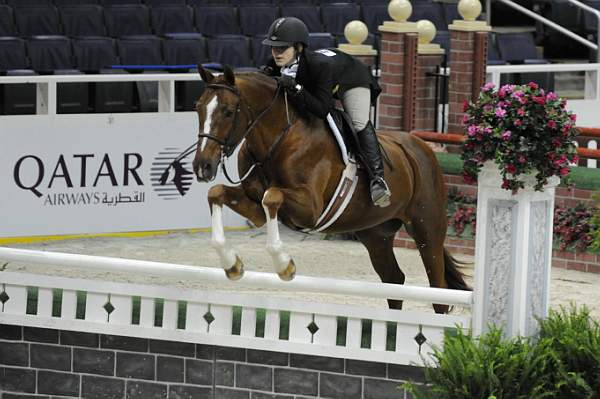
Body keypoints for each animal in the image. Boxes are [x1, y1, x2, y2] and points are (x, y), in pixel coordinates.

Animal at [192, 66, 468, 316]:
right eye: (198, 108)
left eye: (228, 112)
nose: (202, 166)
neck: (278, 140)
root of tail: (421, 148)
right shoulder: (254, 207)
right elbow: (216, 192)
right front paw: (232, 264)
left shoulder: (310, 208)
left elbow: (272, 197)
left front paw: (284, 266)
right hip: (375, 234)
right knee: (394, 280)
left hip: (426, 228)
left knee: (438, 291)